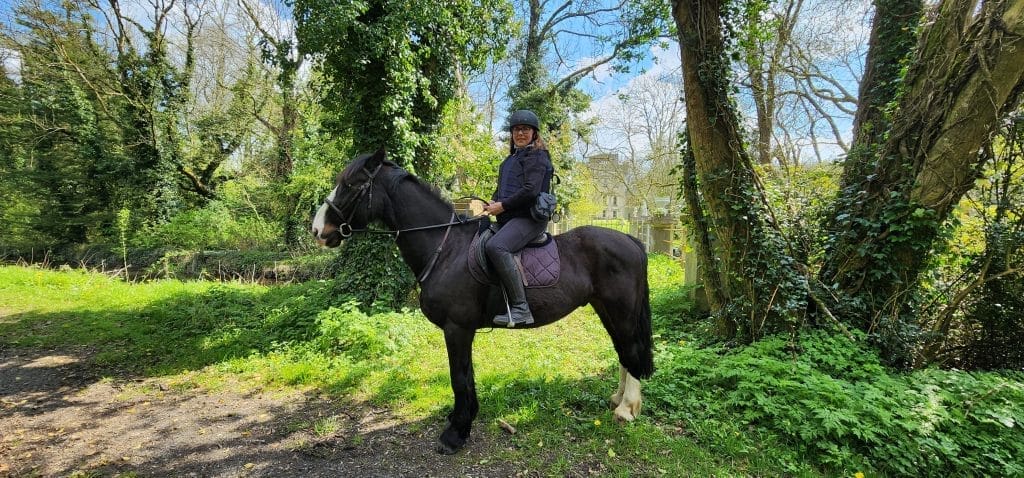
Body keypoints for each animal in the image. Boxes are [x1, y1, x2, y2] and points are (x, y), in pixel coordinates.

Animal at [307, 150, 651, 456]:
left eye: (352, 184)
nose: (317, 230)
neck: (446, 248)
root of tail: (632, 240)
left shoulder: (457, 328)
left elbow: (459, 378)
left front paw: (455, 434)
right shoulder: (463, 330)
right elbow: (467, 376)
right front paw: (464, 418)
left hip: (620, 309)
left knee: (631, 349)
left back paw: (626, 409)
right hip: (605, 308)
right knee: (623, 351)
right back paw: (618, 400)